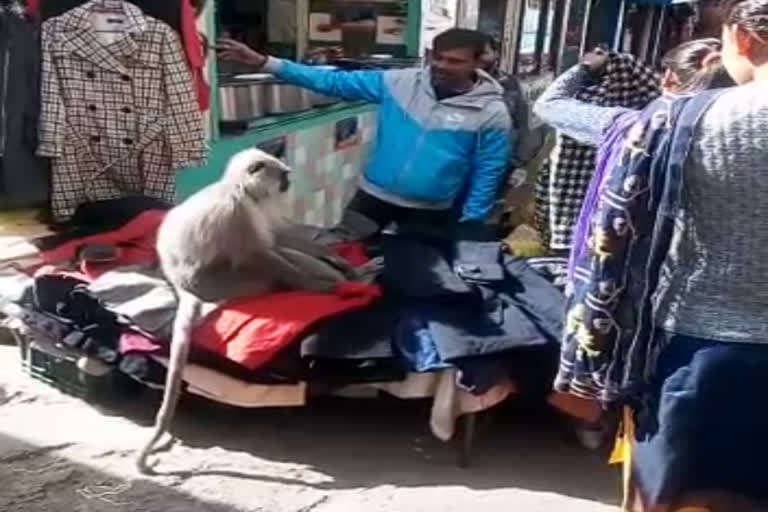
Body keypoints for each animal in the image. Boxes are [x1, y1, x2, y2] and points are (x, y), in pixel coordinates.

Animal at [136, 147, 362, 472]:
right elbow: (260, 254)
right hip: (229, 283)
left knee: (280, 248)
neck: (241, 190)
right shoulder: (236, 213)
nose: (288, 182)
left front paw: (339, 261)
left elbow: (279, 237)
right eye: (283, 175)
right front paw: (318, 287)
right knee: (268, 263)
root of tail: (182, 284)